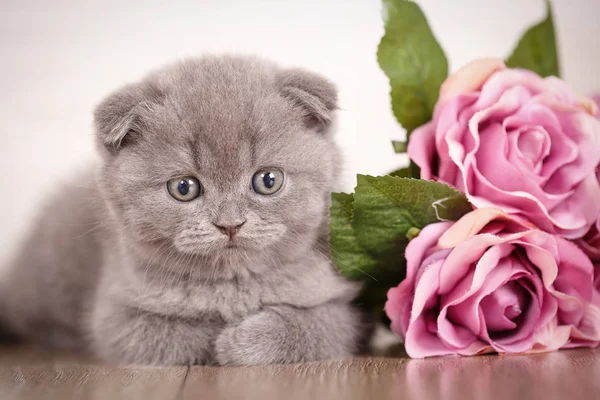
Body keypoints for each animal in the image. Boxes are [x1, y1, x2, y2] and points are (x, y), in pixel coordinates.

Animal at [0, 55, 368, 366]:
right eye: (183, 187)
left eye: (268, 180)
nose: (230, 224)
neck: (233, 285)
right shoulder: (116, 317)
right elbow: (176, 332)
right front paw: (221, 338)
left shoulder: (342, 310)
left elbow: (313, 325)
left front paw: (241, 341)